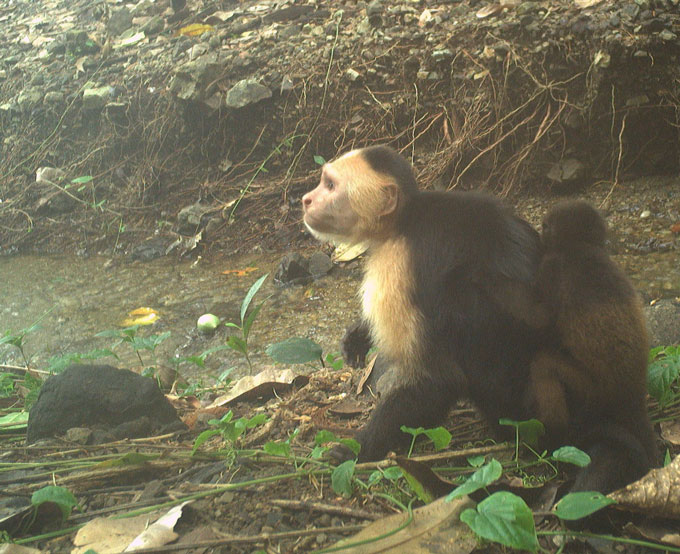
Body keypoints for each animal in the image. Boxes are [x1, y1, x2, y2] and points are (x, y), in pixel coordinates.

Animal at [302, 145, 546, 463]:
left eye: (330, 186)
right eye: (323, 181)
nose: (306, 199)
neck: (401, 222)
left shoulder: (395, 268)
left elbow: (439, 380)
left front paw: (358, 450)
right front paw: (358, 335)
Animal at [524, 200, 657, 492]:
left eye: (546, 225)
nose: (540, 228)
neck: (579, 246)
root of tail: (633, 393)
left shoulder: (551, 268)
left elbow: (540, 323)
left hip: (593, 390)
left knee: (543, 367)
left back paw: (555, 437)